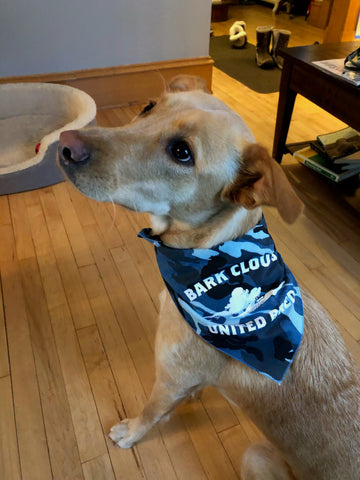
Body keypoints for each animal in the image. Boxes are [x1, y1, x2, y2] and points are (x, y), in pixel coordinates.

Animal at [59, 76, 360, 480]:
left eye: (182, 152)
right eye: (148, 107)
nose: (65, 144)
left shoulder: (169, 381)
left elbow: (151, 412)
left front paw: (132, 431)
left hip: (255, 455)